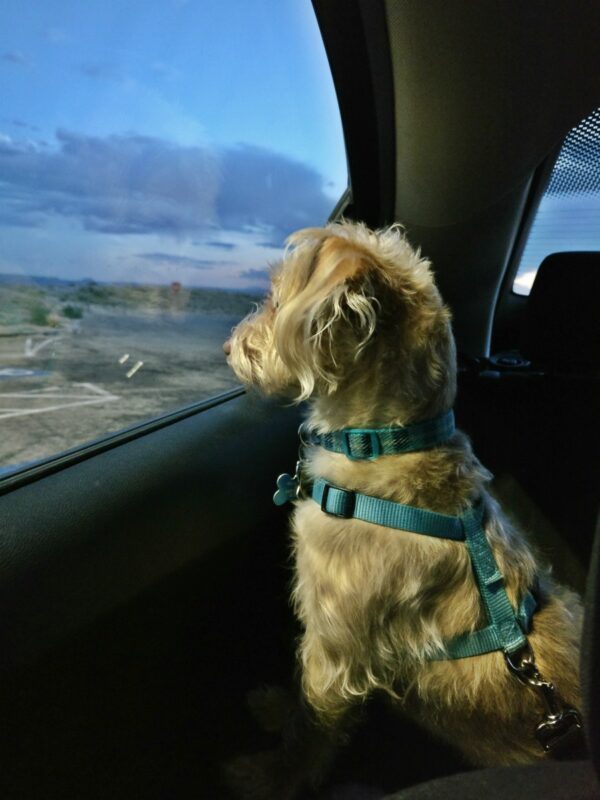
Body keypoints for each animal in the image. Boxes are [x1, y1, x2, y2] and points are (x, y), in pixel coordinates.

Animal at [223, 222, 584, 796]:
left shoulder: (335, 651)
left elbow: (310, 725)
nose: (228, 346)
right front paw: (276, 707)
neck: (385, 446)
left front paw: (269, 776)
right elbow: (297, 700)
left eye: (277, 299)